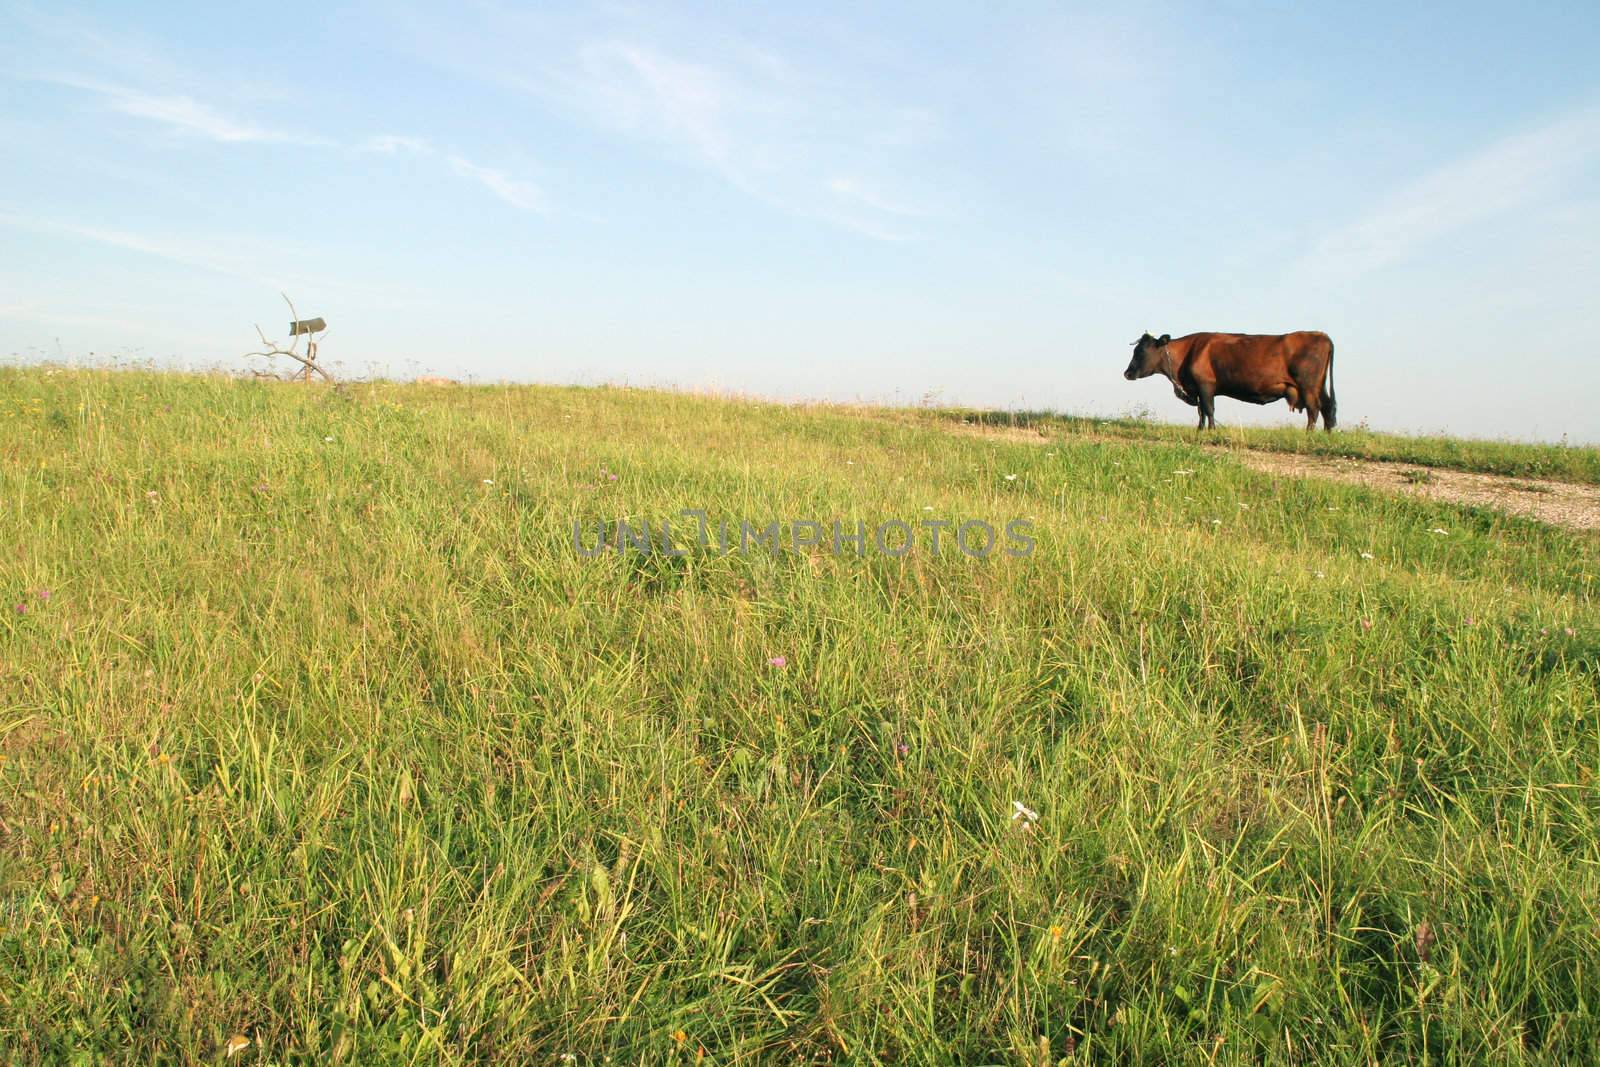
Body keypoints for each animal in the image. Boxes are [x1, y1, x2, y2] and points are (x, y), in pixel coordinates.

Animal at [1126, 334, 1337, 435]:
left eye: (1141, 351)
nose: (1126, 373)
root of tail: (1322, 335)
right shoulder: (1198, 389)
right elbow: (1201, 411)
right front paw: (1200, 430)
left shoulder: (1205, 385)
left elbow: (1208, 409)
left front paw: (1211, 430)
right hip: (1319, 387)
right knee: (1327, 407)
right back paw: (1327, 433)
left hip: (1308, 387)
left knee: (1314, 409)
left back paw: (1309, 433)